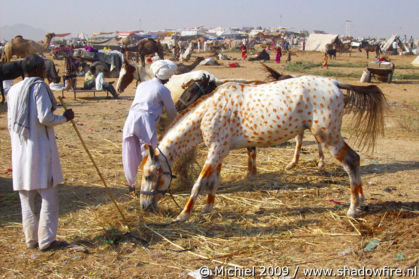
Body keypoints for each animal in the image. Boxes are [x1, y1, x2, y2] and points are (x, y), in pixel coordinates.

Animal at [140, 75, 388, 223]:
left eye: (150, 175)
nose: (145, 205)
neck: (208, 111)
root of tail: (336, 83)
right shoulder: (219, 151)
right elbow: (213, 182)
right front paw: (207, 209)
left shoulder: (215, 151)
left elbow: (198, 184)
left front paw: (183, 215)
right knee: (355, 160)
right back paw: (362, 203)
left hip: (328, 137)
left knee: (352, 161)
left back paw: (353, 209)